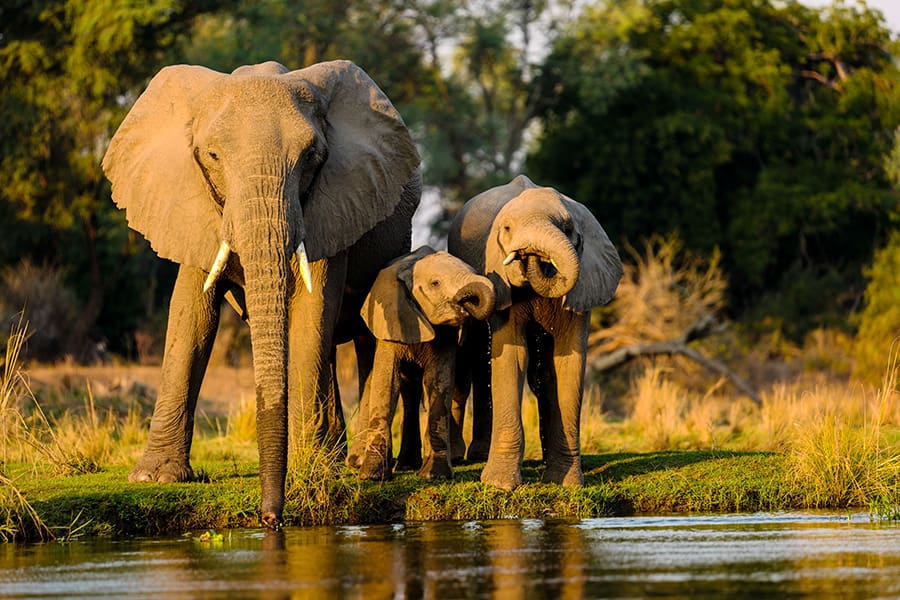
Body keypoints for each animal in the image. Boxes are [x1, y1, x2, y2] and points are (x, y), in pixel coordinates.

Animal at [101, 59, 421, 528]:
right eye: (212, 156)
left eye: (312, 157)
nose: (270, 519)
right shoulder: (191, 204)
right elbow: (190, 317)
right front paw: (153, 479)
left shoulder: (331, 204)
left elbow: (311, 311)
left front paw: (310, 469)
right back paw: (335, 456)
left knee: (366, 338)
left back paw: (358, 465)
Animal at [350, 246, 495, 481]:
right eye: (435, 283)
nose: (466, 302)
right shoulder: (391, 320)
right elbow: (386, 383)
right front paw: (372, 476)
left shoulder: (446, 334)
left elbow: (438, 382)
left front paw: (435, 476)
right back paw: (402, 465)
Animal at [447, 174, 623, 489]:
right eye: (506, 229)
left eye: (567, 228)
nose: (530, 254)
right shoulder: (500, 280)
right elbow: (512, 355)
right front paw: (500, 485)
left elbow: (567, 364)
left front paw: (567, 483)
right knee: (472, 354)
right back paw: (464, 456)